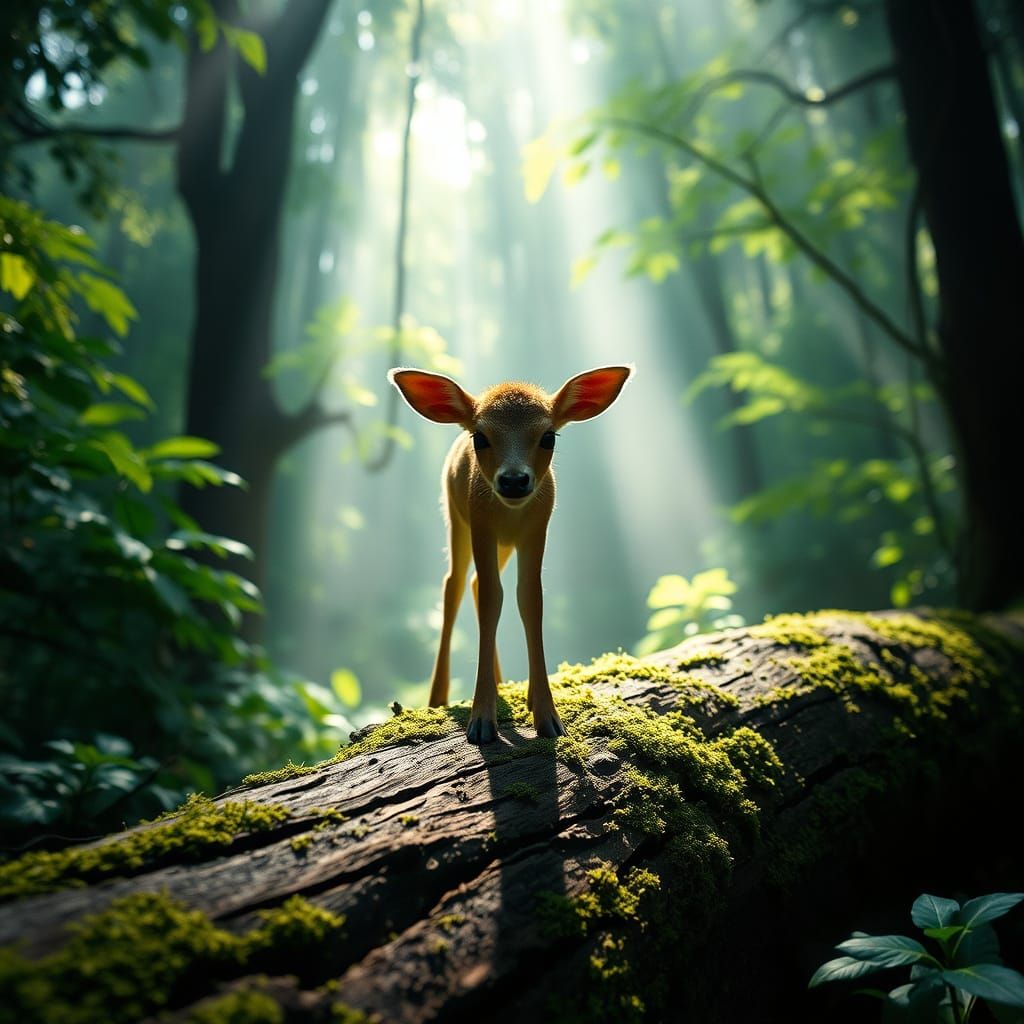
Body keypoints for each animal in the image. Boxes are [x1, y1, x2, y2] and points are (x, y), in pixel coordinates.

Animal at [388, 364, 634, 743]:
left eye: (548, 437)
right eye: (480, 437)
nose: (515, 480)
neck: (509, 514)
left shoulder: (537, 527)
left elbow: (529, 599)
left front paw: (547, 716)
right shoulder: (481, 524)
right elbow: (493, 598)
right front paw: (481, 721)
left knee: (476, 584)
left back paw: (504, 684)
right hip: (456, 516)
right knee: (455, 585)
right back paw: (438, 697)